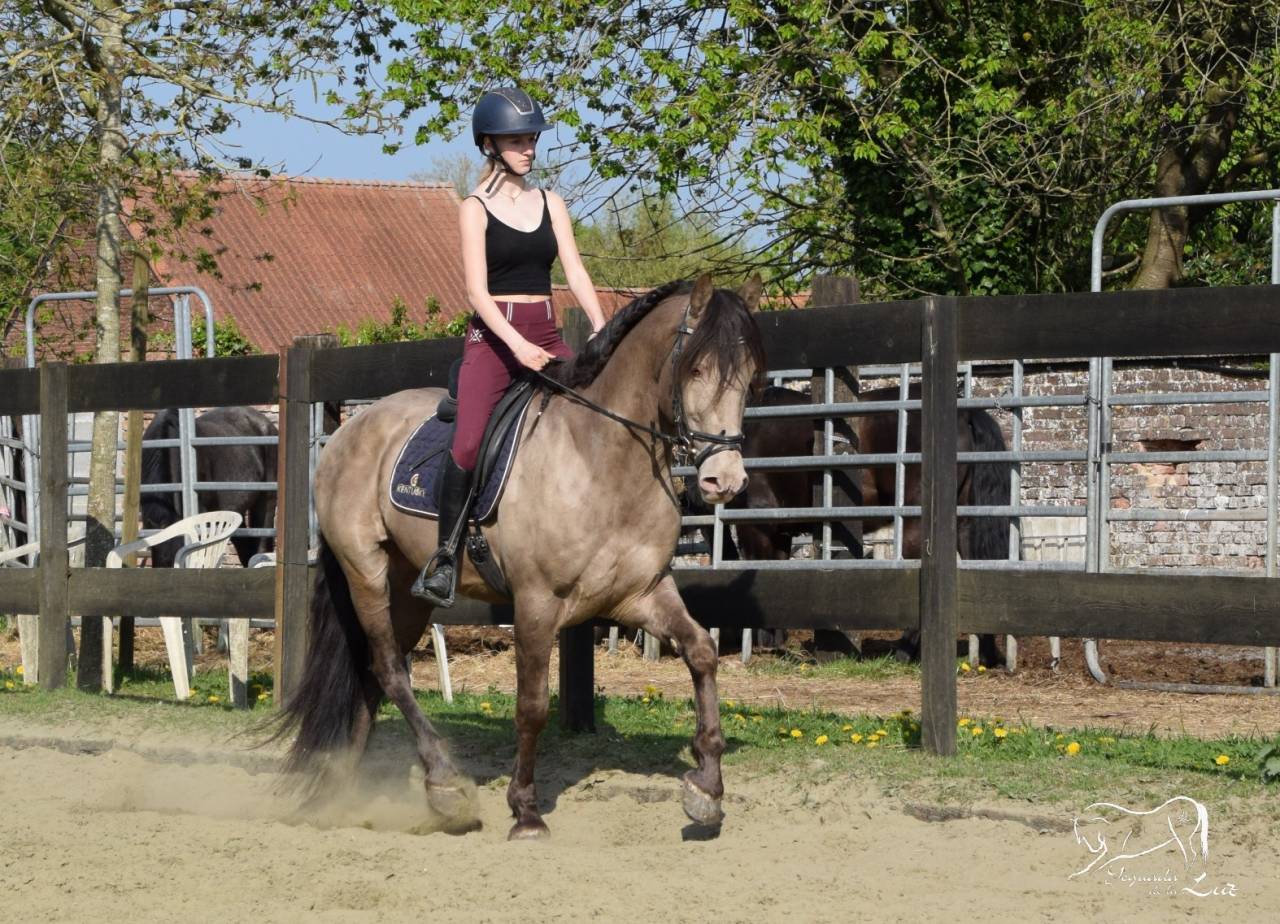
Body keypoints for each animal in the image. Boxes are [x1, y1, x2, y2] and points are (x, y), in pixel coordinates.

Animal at [272, 275, 766, 839]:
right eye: (696, 369)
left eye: (750, 378)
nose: (725, 481)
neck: (601, 458)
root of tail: (350, 431)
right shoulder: (536, 603)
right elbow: (531, 706)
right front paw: (526, 811)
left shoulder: (641, 593)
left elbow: (701, 652)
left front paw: (706, 788)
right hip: (366, 573)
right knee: (389, 669)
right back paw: (444, 785)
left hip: (408, 591)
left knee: (372, 676)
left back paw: (344, 790)